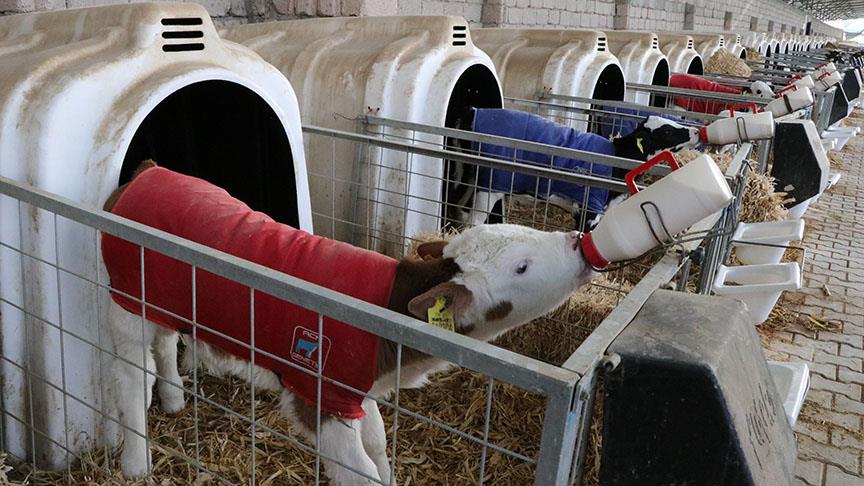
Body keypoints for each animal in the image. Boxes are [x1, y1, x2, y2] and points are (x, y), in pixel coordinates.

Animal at [104, 161, 596, 484]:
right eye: (522, 267)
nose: (578, 242)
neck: (389, 312)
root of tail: (147, 173)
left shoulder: (358, 389)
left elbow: (377, 443)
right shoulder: (320, 395)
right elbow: (359, 472)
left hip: (162, 297)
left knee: (165, 343)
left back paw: (173, 400)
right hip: (125, 301)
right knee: (132, 376)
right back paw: (136, 463)